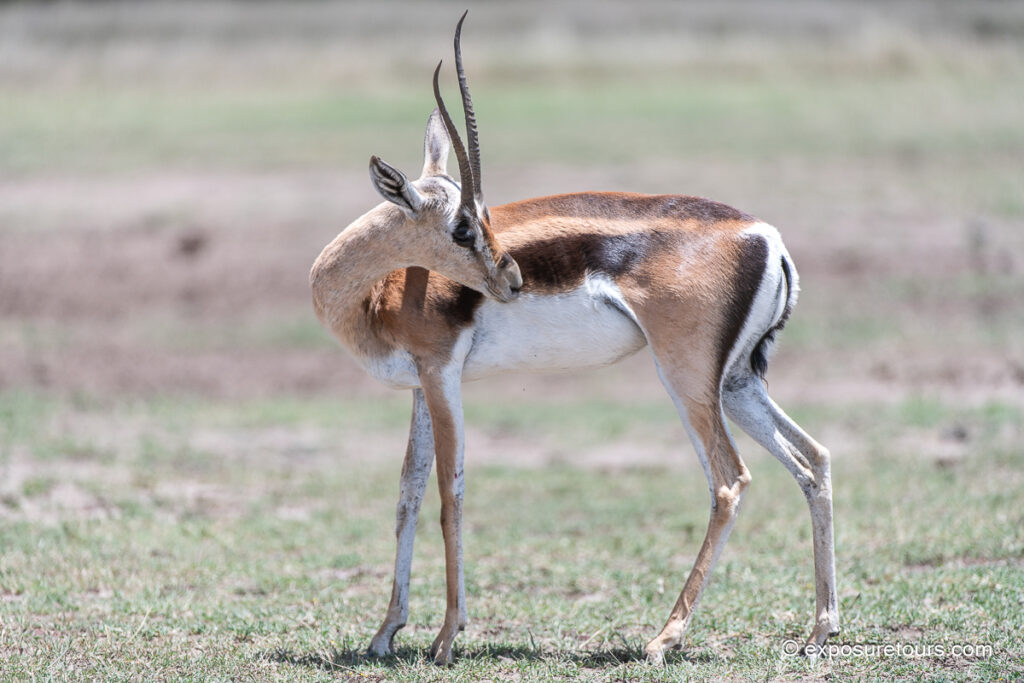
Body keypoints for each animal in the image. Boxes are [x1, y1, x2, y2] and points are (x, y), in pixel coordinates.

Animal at [310, 13, 839, 666]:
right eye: (463, 224)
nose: (511, 279)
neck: (380, 287)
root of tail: (766, 236)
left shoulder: (441, 375)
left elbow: (449, 492)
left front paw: (446, 637)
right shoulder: (419, 387)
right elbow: (407, 492)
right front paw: (386, 632)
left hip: (685, 377)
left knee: (729, 479)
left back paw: (663, 638)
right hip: (737, 382)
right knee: (813, 459)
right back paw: (819, 630)